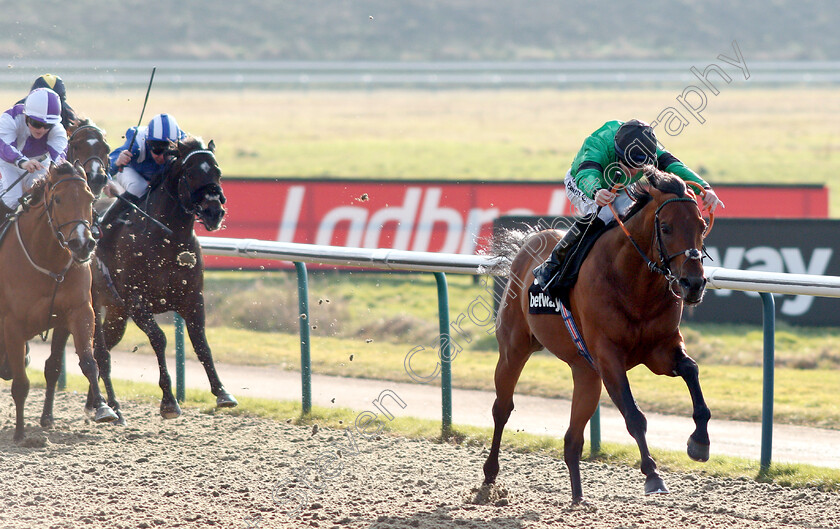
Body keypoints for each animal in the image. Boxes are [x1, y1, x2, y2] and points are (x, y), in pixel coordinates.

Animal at [482, 170, 712, 504]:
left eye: (702, 226)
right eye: (666, 227)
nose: (693, 284)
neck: (634, 283)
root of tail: (529, 243)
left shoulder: (660, 349)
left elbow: (691, 370)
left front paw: (699, 441)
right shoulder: (608, 356)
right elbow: (634, 415)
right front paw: (653, 475)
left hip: (585, 372)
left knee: (572, 438)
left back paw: (578, 497)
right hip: (514, 348)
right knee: (502, 408)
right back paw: (488, 478)